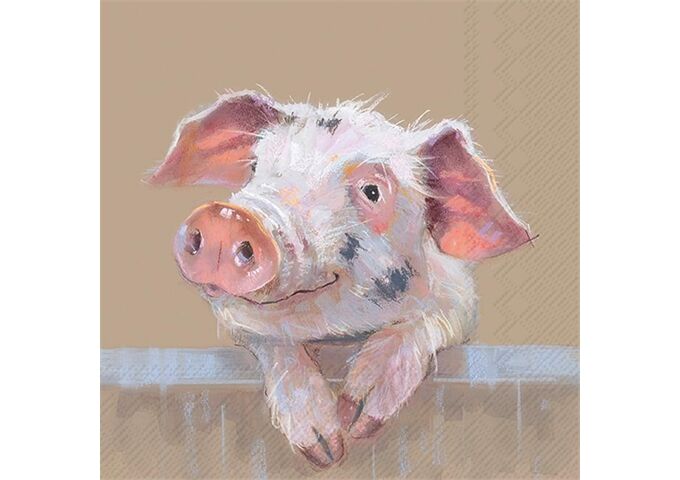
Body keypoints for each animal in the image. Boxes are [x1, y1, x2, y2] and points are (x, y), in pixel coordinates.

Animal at [147, 90, 532, 468]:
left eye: (372, 191)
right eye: (255, 166)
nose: (228, 216)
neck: (337, 334)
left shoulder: (459, 300)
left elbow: (424, 323)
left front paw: (355, 421)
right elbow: (271, 338)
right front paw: (325, 452)